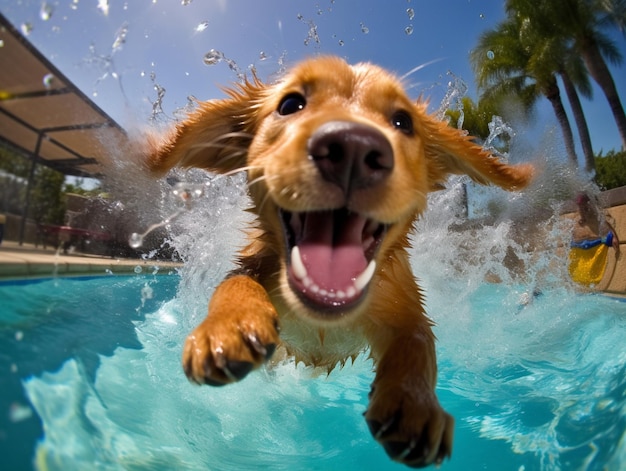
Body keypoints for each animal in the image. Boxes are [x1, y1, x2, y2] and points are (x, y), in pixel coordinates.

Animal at [146, 56, 532, 468]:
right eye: (290, 104)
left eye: (403, 121)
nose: (353, 148)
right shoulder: (253, 266)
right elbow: (235, 282)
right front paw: (228, 326)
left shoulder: (401, 300)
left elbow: (418, 340)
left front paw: (414, 401)